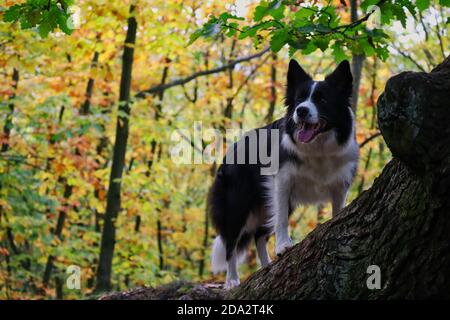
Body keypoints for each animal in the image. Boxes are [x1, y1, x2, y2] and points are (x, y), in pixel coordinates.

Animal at [207, 58, 358, 288]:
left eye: (322, 99)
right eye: (299, 99)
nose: (301, 110)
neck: (318, 148)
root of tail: (230, 152)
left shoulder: (340, 184)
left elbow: (337, 210)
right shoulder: (282, 181)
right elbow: (280, 221)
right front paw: (283, 246)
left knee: (259, 236)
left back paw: (266, 266)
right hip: (237, 204)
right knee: (231, 243)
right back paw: (232, 280)